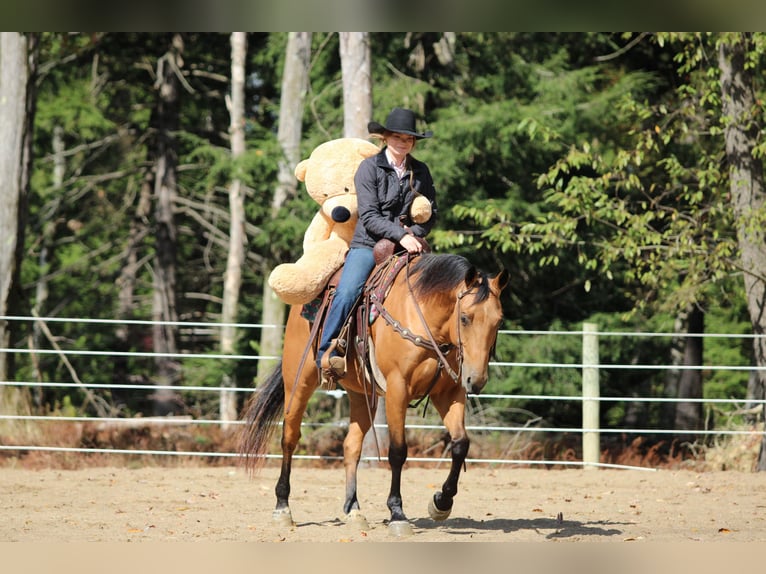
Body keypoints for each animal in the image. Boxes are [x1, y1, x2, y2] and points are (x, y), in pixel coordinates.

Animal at [239, 252, 508, 536]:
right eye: (465, 317)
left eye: (499, 321)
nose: (476, 380)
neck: (424, 318)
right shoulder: (397, 389)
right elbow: (398, 451)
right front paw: (398, 514)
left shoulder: (450, 392)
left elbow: (460, 444)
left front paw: (441, 503)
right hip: (298, 381)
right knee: (289, 438)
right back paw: (282, 508)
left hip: (360, 393)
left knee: (351, 447)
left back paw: (353, 510)